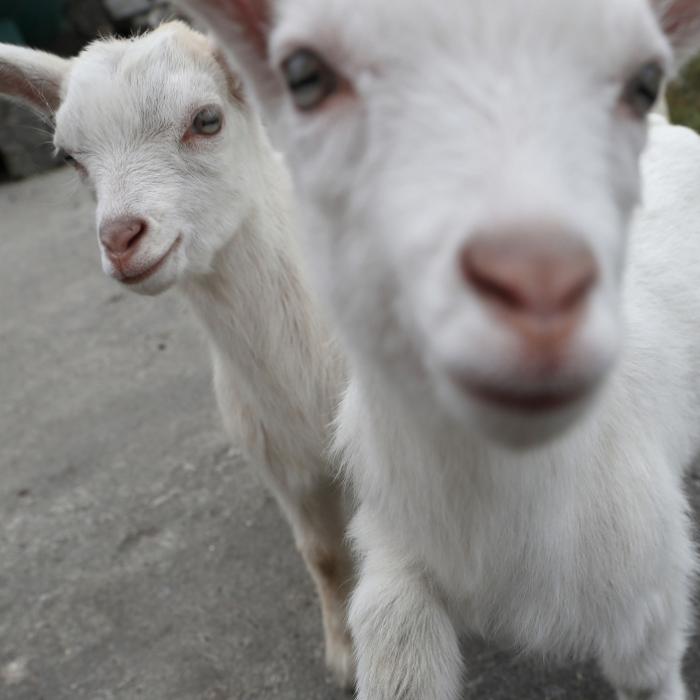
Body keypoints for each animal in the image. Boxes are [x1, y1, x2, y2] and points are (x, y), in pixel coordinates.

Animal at [0, 22, 355, 688]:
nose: (119, 238)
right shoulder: (280, 464)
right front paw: (343, 654)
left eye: (207, 119)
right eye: (70, 157)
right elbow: (322, 554)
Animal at [176, 1, 700, 698]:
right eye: (304, 75)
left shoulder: (649, 609)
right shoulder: (395, 547)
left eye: (645, 82)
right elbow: (394, 642)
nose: (540, 285)